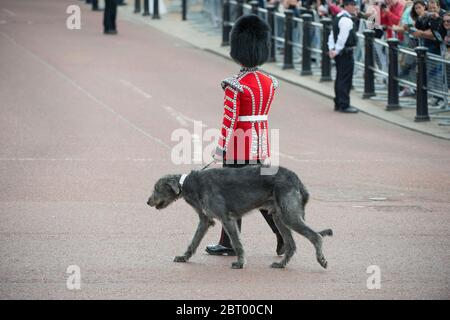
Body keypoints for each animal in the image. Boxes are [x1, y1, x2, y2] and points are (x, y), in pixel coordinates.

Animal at [147, 164, 330, 268]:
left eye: (156, 188)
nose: (147, 202)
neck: (190, 184)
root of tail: (296, 179)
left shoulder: (227, 219)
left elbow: (236, 242)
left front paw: (240, 262)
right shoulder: (205, 220)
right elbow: (194, 241)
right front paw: (184, 257)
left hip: (289, 215)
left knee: (316, 236)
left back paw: (321, 260)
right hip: (280, 217)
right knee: (291, 244)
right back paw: (281, 264)